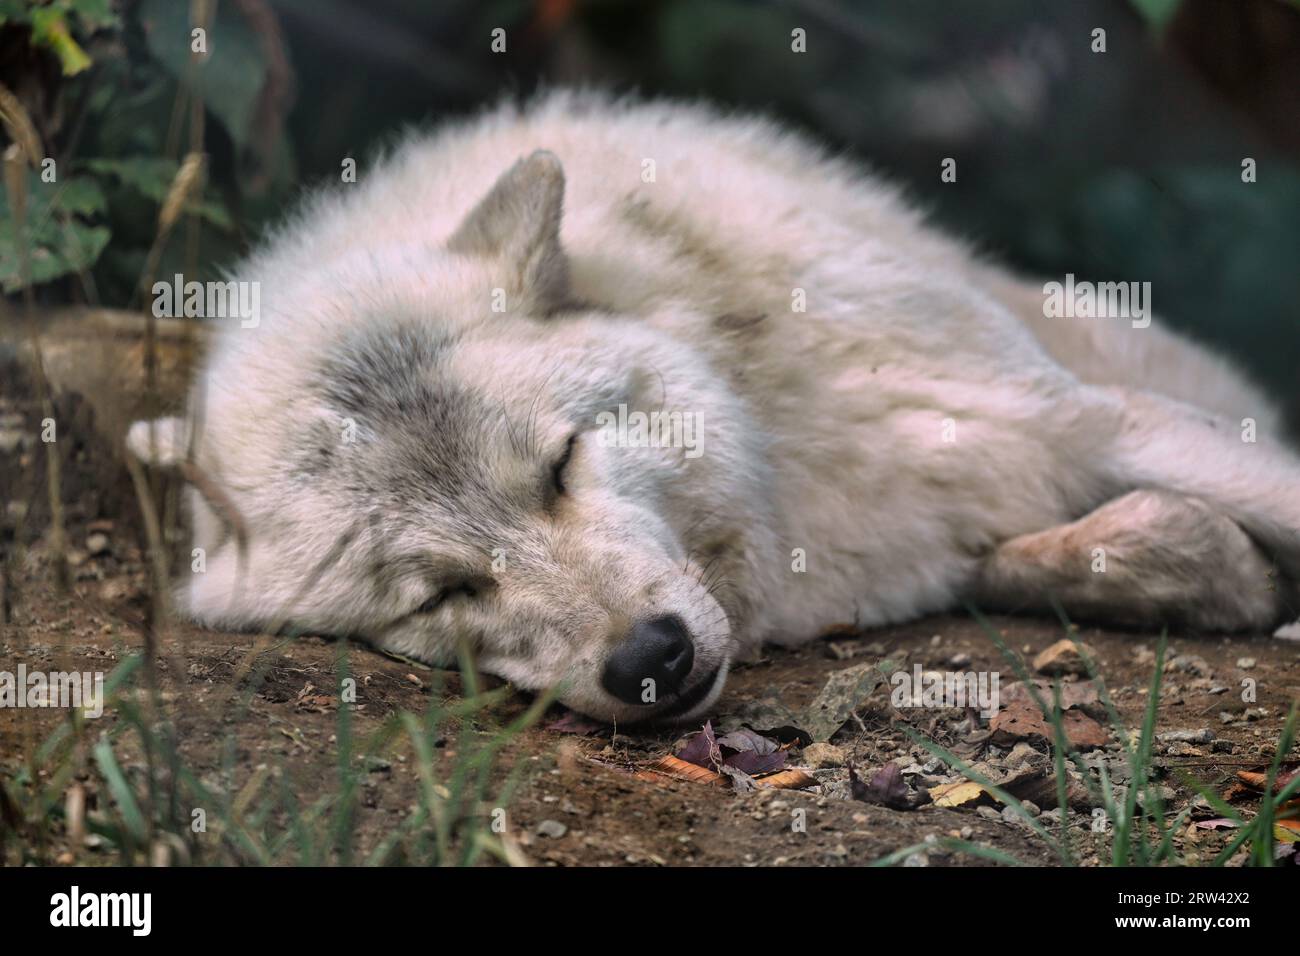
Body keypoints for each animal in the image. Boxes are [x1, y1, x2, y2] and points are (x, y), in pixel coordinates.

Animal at [131, 93, 1300, 723]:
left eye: (562, 464)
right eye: (442, 594)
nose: (648, 660)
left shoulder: (1081, 419)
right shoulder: (923, 543)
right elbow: (1095, 548)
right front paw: (1230, 576)